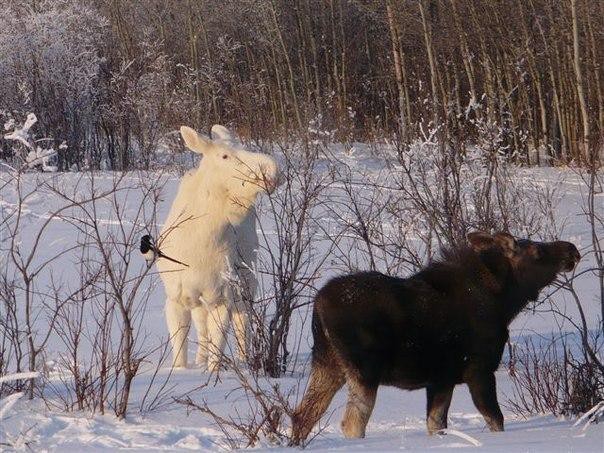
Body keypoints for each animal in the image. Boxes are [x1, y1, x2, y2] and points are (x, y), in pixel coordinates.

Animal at [156, 124, 278, 370]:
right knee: (203, 331)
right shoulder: (175, 298)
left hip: (247, 285)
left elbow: (218, 351)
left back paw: (244, 360)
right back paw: (200, 360)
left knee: (243, 325)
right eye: (224, 155)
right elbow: (180, 351)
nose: (271, 170)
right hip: (200, 302)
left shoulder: (222, 298)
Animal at [290, 231, 584, 444]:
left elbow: (436, 424)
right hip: (364, 370)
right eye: (537, 251)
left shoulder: (441, 379)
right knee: (352, 422)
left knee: (302, 415)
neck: (505, 303)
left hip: (327, 364)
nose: (572, 249)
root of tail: (318, 306)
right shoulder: (479, 370)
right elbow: (495, 420)